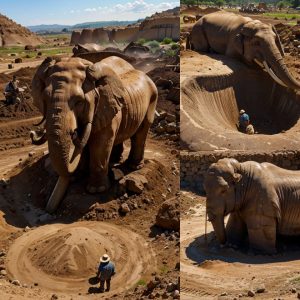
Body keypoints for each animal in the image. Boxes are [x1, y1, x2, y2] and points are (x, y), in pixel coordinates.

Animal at [30, 55, 158, 213]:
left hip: (152, 100)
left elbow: (100, 145)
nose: (48, 210)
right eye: (45, 100)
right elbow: (85, 145)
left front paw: (96, 190)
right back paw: (115, 160)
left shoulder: (105, 109)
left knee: (140, 134)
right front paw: (78, 176)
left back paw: (134, 167)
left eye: (79, 102)